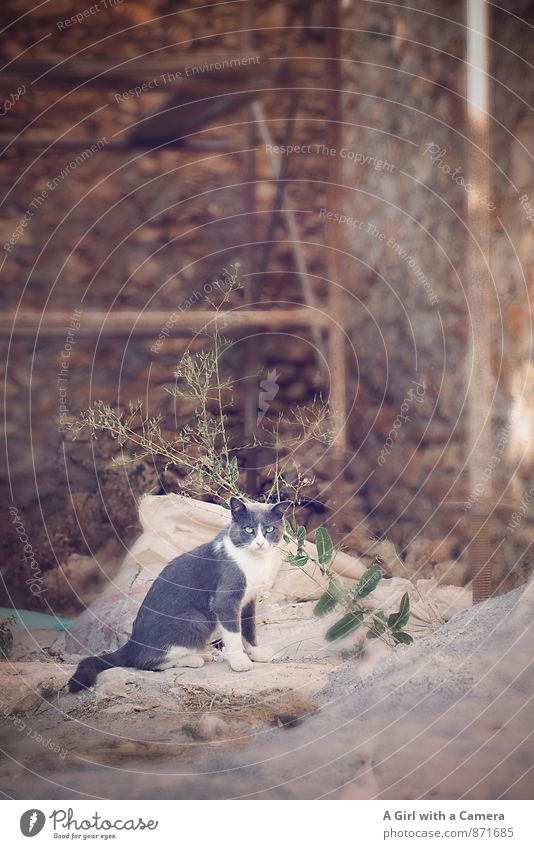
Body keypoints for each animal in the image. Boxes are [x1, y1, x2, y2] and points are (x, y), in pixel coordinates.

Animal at [70, 496, 294, 688]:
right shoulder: (226, 599)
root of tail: (132, 643)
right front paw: (239, 661)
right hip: (195, 619)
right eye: (248, 529)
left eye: (270, 529)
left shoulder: (249, 599)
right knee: (143, 661)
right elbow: (234, 633)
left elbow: (249, 629)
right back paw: (194, 659)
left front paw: (257, 653)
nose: (260, 542)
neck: (253, 561)